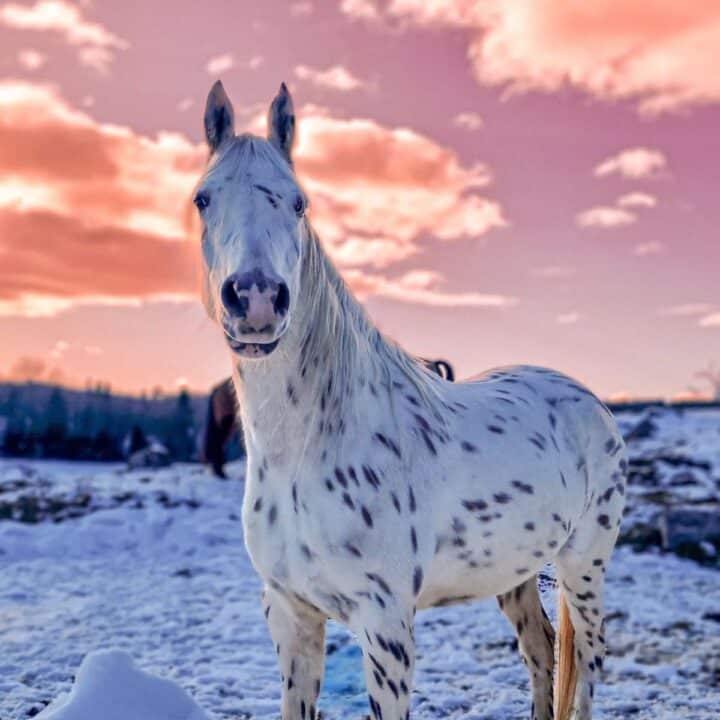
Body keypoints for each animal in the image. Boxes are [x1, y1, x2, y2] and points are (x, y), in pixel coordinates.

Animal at [193, 80, 627, 720]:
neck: (304, 450)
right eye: (203, 199)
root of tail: (588, 400)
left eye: (299, 204)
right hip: (515, 574)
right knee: (542, 652)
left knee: (587, 664)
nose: (256, 299)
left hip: (584, 565)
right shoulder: (290, 615)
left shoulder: (386, 627)